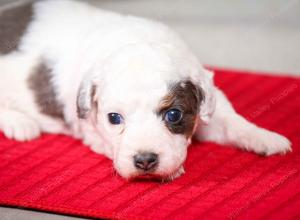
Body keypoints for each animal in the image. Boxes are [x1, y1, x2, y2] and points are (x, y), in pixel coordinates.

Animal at [0, 0, 290, 180]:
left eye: (173, 115)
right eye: (114, 118)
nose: (145, 160)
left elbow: (230, 121)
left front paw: (264, 137)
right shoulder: (91, 129)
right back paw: (19, 123)